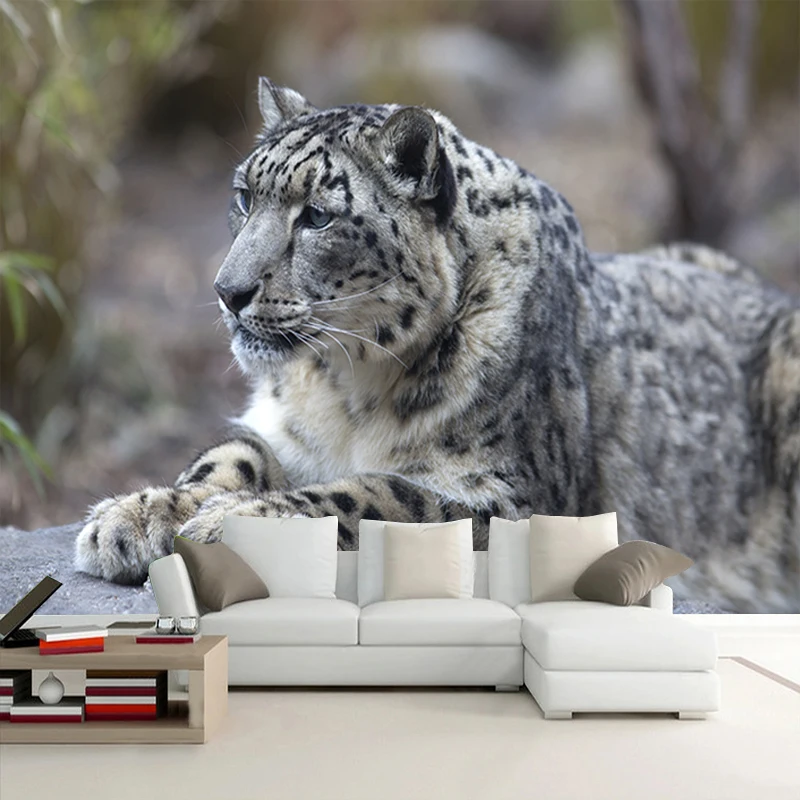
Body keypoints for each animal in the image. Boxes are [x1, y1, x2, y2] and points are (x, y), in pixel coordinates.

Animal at [75, 76, 800, 612]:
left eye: (317, 215)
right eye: (243, 195)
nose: (228, 290)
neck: (346, 390)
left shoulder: (508, 496)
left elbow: (379, 495)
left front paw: (231, 525)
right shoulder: (275, 428)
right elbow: (226, 455)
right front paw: (134, 517)